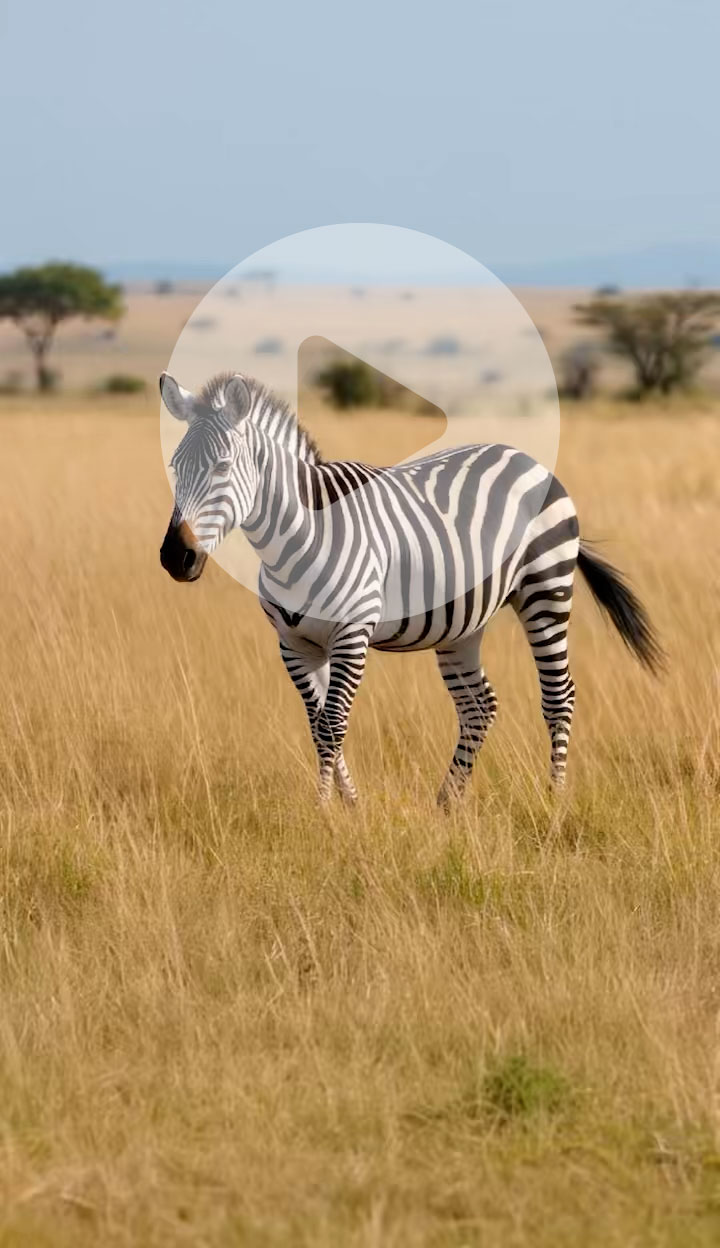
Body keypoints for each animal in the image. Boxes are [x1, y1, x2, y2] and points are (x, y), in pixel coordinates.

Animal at [159, 370, 662, 805]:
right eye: (174, 466)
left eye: (223, 467)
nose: (174, 557)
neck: (299, 537)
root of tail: (527, 459)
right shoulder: (293, 643)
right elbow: (317, 725)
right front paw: (350, 807)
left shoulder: (352, 635)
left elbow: (332, 724)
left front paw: (323, 812)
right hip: (463, 624)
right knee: (479, 705)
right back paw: (448, 803)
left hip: (546, 588)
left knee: (559, 696)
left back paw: (553, 799)